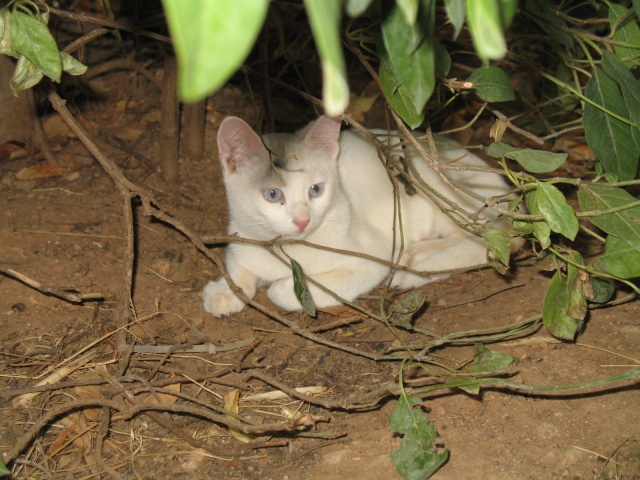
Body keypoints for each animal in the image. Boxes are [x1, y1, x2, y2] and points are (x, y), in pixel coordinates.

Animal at [202, 116, 512, 316]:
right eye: (272, 194)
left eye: (316, 190)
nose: (303, 221)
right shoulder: (240, 235)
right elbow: (237, 266)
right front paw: (223, 291)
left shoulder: (369, 260)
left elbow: (283, 291)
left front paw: (275, 286)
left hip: (436, 185)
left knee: (484, 240)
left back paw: (416, 260)